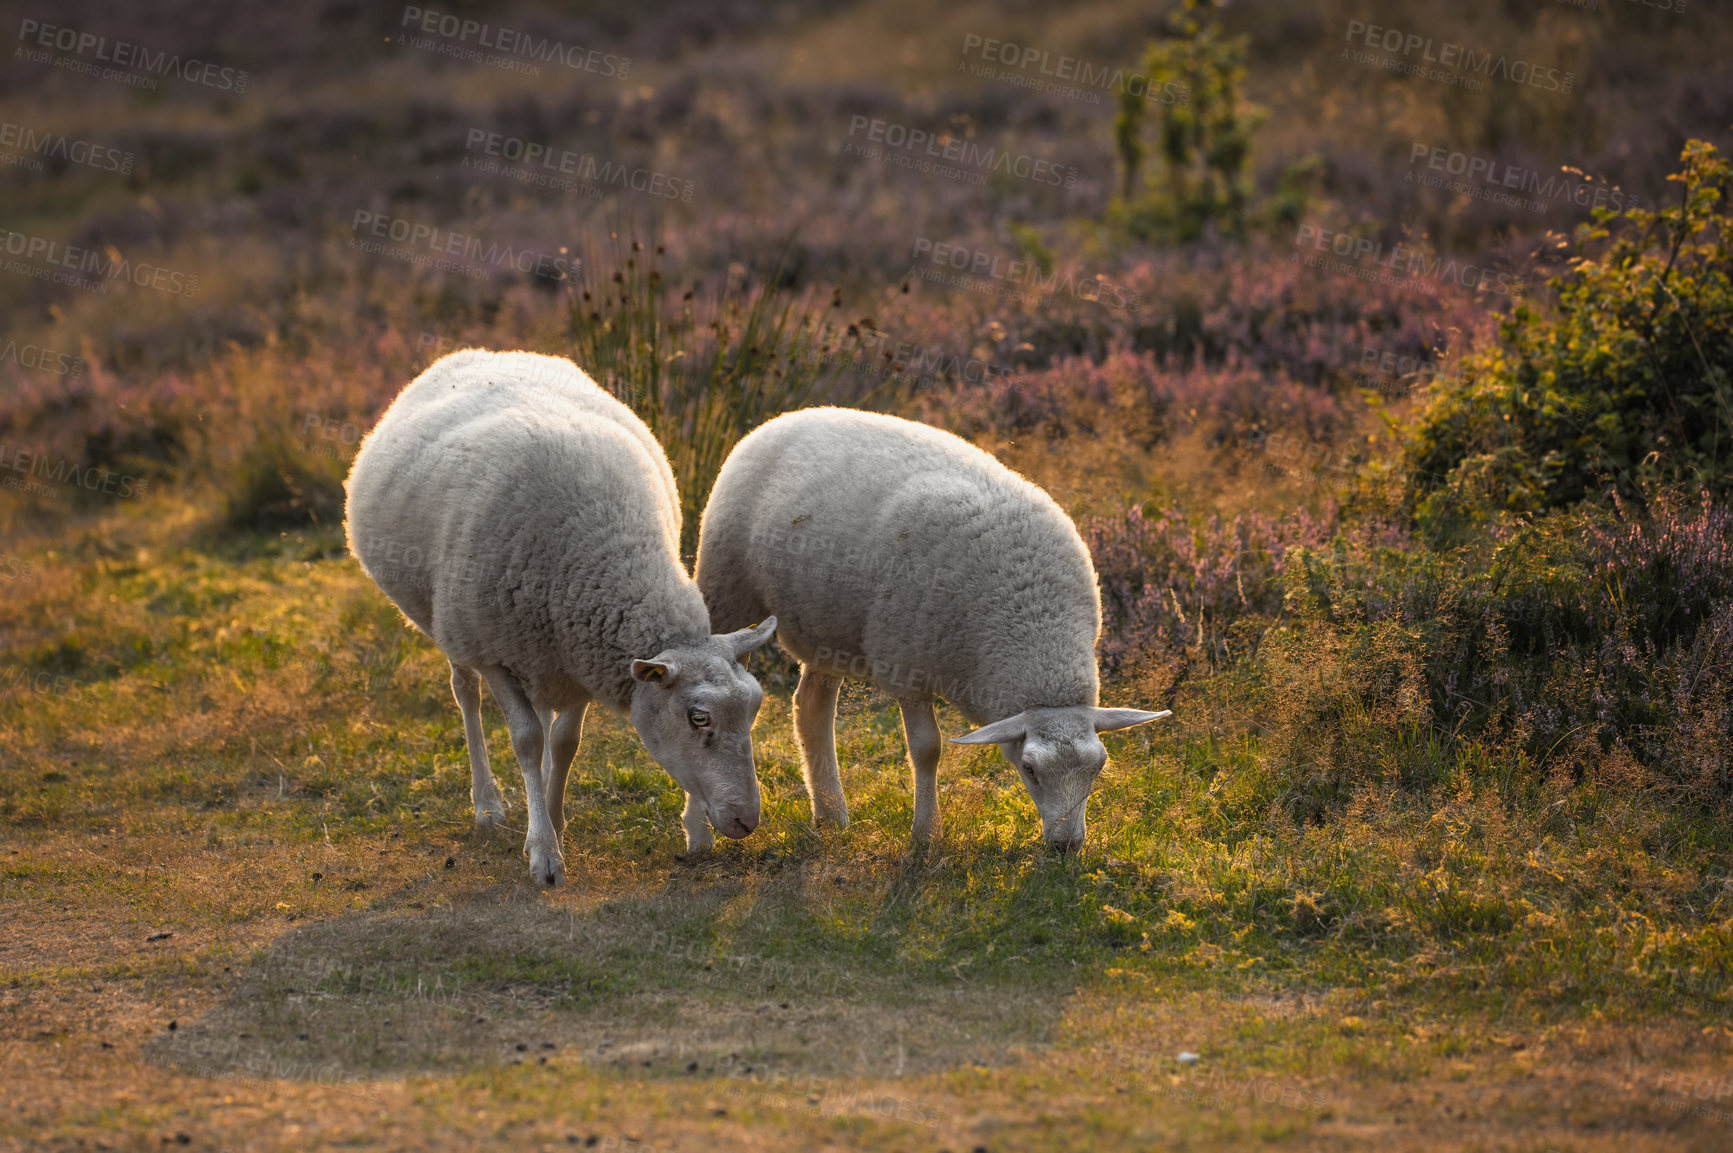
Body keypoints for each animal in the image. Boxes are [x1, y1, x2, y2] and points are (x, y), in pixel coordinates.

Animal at [344, 346, 779, 884]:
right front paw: (543, 851)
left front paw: (553, 818)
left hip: (538, 651)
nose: (747, 821)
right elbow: (528, 740)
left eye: (755, 706)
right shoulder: (494, 652)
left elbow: (566, 742)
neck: (606, 549)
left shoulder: (579, 659)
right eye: (698, 717)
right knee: (465, 694)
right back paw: (486, 804)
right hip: (453, 626)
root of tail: (483, 351)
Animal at [689, 409, 1164, 849]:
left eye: (1099, 766)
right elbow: (927, 749)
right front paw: (926, 833)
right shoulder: (906, 665)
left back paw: (831, 815)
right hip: (728, 588)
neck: (1033, 618)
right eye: (1029, 769)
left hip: (826, 626)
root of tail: (786, 416)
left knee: (810, 709)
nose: (1067, 846)